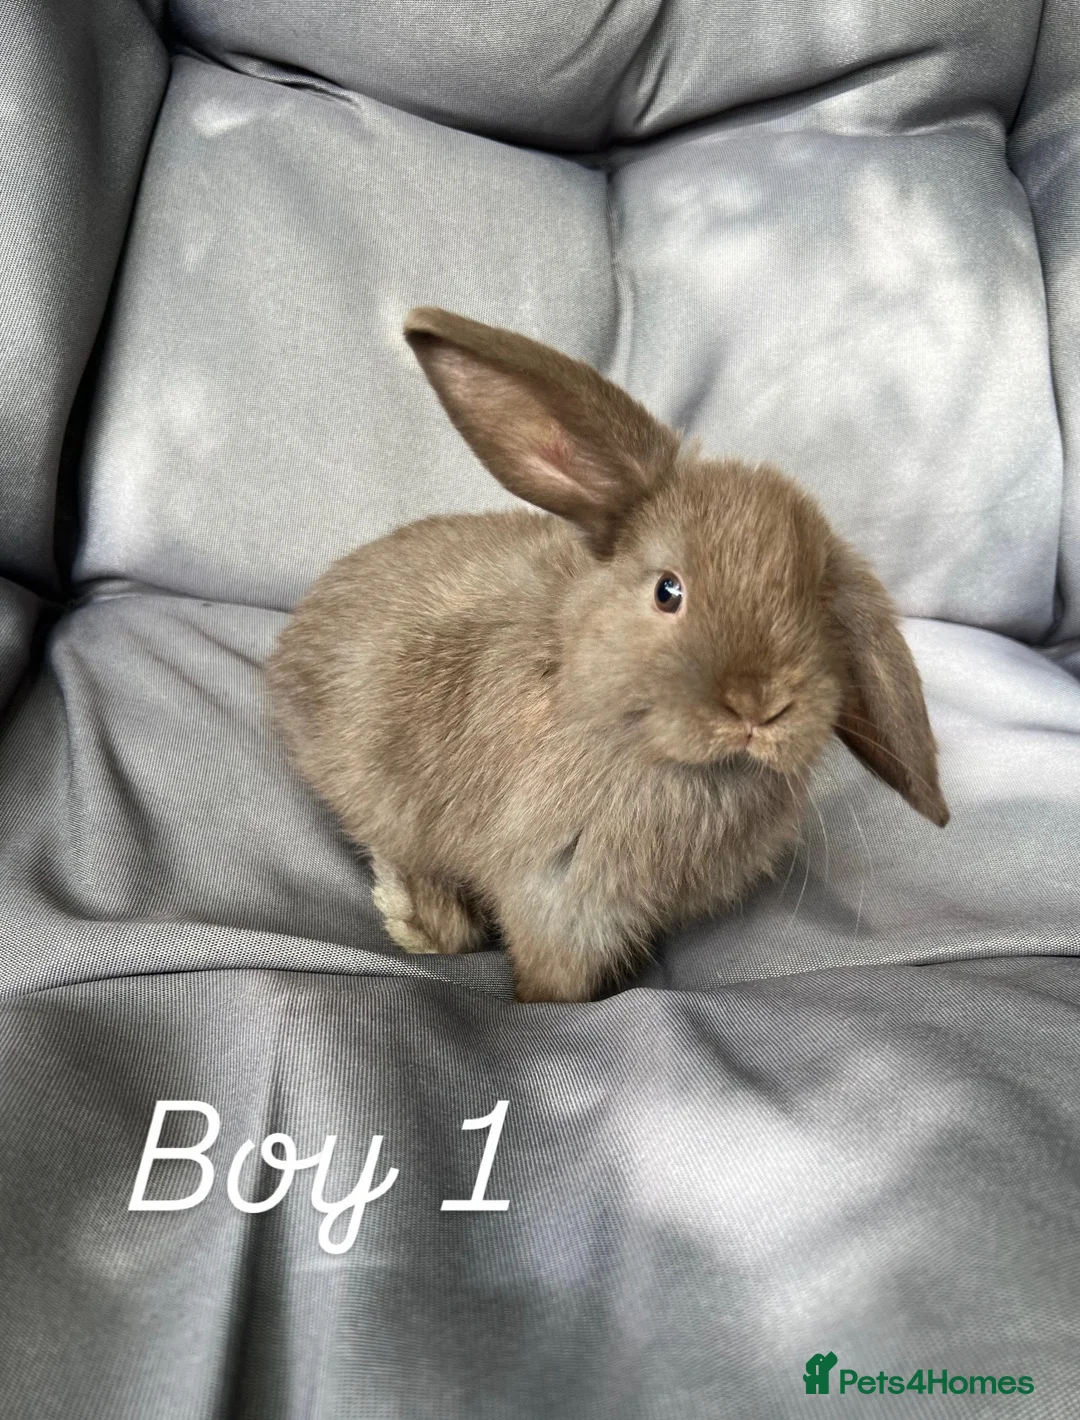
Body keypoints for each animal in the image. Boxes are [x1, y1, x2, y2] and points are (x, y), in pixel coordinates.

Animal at [268, 307, 949, 1003]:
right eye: (668, 590)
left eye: (820, 611)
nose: (760, 705)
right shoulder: (560, 893)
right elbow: (556, 973)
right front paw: (553, 1004)